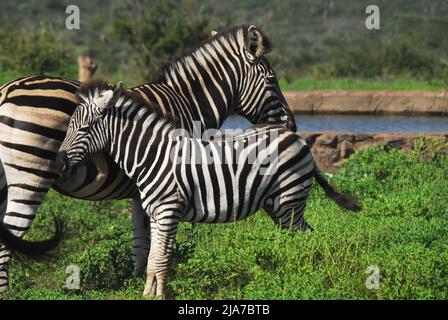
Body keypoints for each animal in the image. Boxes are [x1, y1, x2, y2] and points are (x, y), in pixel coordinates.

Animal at [0, 25, 298, 292]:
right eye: (271, 80)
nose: (292, 126)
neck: (188, 102)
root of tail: (6, 92)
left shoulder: (146, 185)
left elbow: (141, 237)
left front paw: (137, 279)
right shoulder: (171, 176)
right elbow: (154, 238)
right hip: (31, 177)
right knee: (9, 236)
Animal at [0, 80, 360, 298]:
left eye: (85, 128)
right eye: (68, 126)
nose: (59, 164)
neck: (152, 155)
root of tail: (297, 138)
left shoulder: (168, 210)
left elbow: (159, 260)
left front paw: (156, 295)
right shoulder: (156, 213)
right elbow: (153, 258)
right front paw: (149, 293)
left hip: (289, 199)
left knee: (301, 238)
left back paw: (298, 273)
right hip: (278, 203)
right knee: (303, 235)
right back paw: (298, 272)